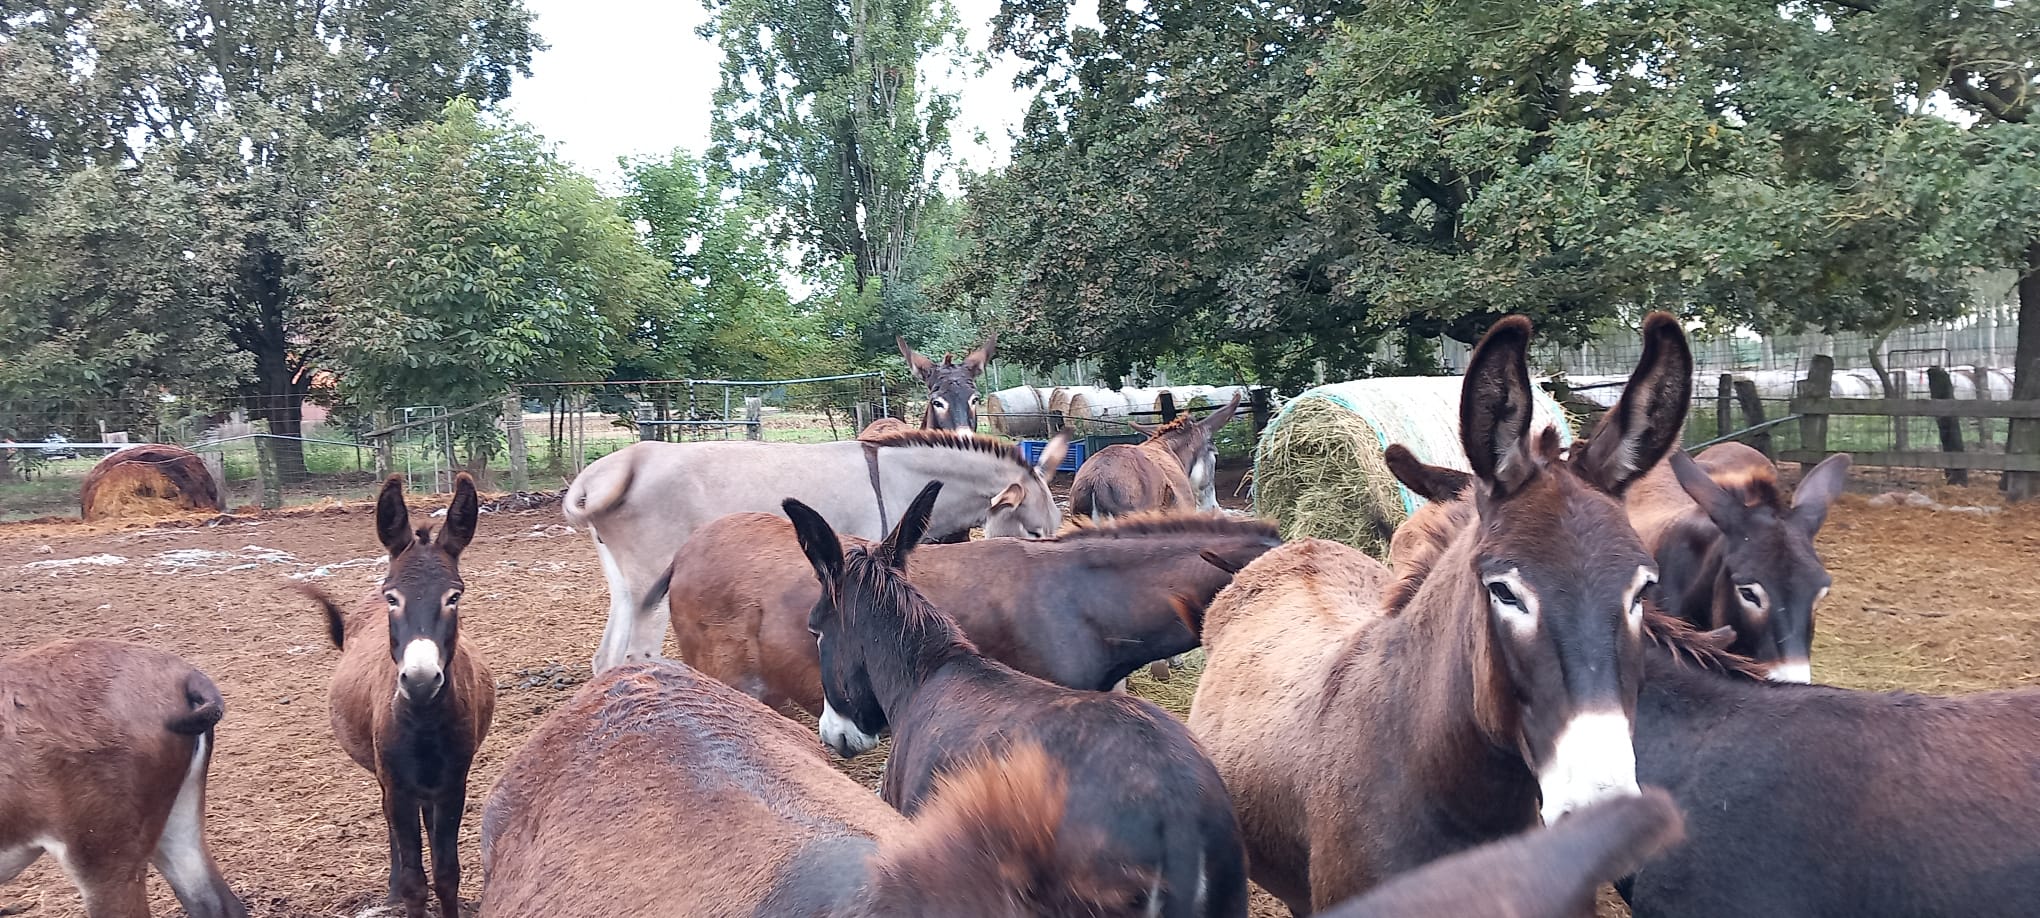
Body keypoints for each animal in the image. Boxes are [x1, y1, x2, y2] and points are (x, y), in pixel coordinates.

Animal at [297, 474, 495, 918]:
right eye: (393, 597)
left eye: (454, 596)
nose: (420, 681)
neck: (423, 721)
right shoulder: (396, 783)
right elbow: (413, 882)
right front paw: (401, 889)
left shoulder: (453, 783)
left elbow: (446, 874)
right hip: (385, 777)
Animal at [566, 428, 1069, 671]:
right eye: (1035, 533)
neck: (891, 477)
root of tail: (617, 465)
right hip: (654, 584)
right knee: (636, 656)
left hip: (625, 587)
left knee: (607, 659)